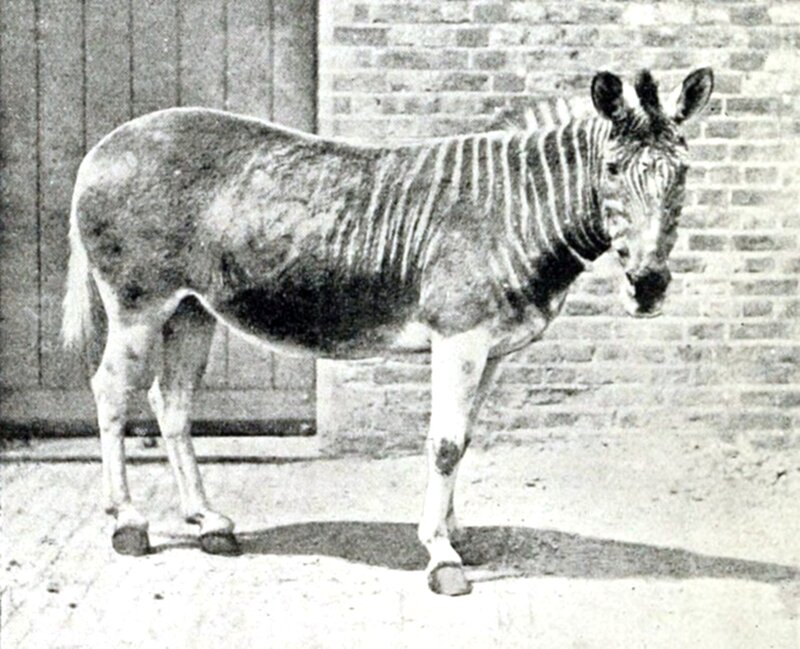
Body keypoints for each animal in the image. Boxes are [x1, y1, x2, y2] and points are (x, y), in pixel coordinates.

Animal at [62, 68, 713, 595]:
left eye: (682, 174)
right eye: (612, 170)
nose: (649, 288)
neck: (515, 210)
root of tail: (104, 145)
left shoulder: (493, 349)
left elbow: (465, 439)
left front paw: (454, 532)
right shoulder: (459, 338)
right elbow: (445, 444)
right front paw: (441, 556)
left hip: (192, 309)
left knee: (170, 403)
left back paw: (209, 523)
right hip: (138, 304)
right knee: (111, 391)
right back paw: (128, 523)